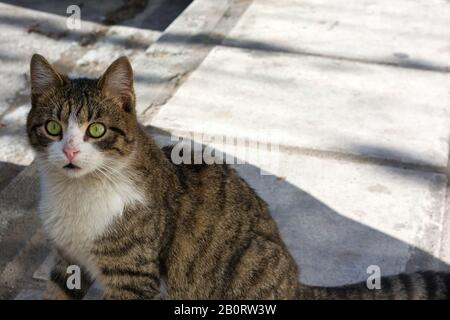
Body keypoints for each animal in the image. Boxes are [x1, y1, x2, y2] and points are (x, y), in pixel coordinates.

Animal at [27, 55, 450, 300]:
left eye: (96, 130)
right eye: (52, 128)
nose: (69, 151)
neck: (77, 194)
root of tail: (297, 284)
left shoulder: (132, 276)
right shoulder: (67, 262)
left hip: (248, 259)